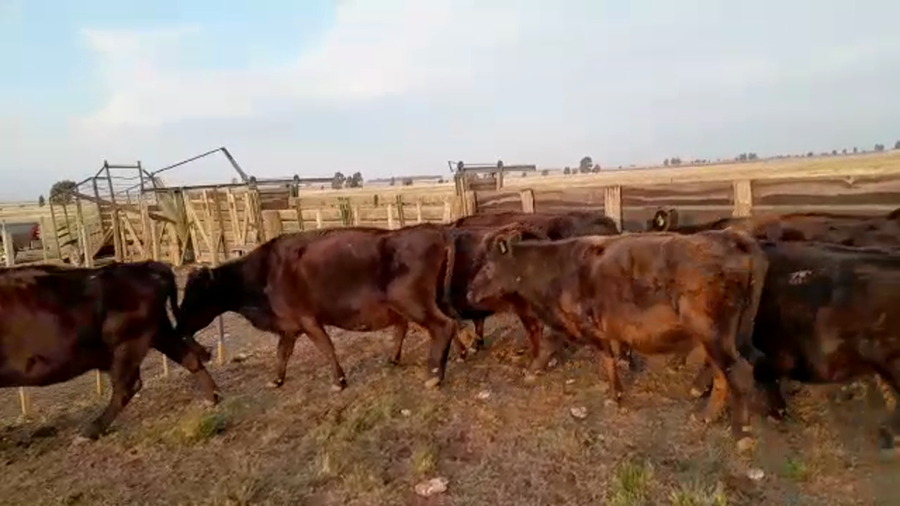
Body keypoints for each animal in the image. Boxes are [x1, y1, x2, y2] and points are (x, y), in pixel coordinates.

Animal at [0, 261, 220, 440]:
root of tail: (147, 267)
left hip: (128, 344)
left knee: (127, 385)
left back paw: (91, 430)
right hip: (158, 334)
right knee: (189, 358)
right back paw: (213, 397)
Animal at [175, 224, 463, 392]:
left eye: (196, 296)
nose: (179, 323)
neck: (264, 273)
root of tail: (435, 232)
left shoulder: (308, 320)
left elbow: (326, 348)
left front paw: (339, 382)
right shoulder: (289, 326)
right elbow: (282, 353)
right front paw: (276, 380)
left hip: (411, 301)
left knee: (443, 326)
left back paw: (434, 375)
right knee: (448, 323)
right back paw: (458, 354)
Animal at [465, 228, 769, 446]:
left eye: (488, 267)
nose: (469, 292)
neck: (553, 268)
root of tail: (732, 236)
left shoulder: (588, 325)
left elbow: (599, 356)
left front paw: (614, 394)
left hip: (713, 333)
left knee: (738, 372)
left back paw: (741, 432)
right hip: (719, 336)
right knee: (722, 371)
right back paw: (704, 414)